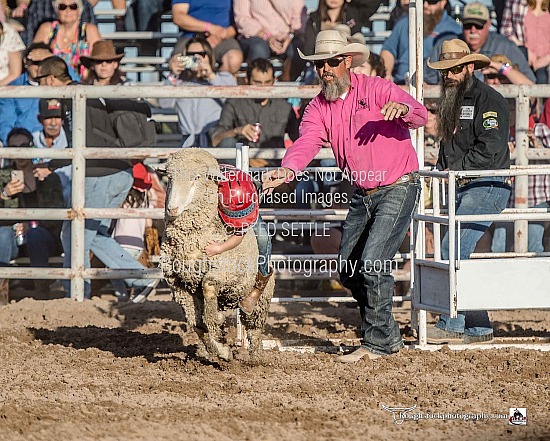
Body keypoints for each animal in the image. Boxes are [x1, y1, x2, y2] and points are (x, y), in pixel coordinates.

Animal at [161, 149, 274, 360]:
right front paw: (220, 349)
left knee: (254, 329)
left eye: (197, 177)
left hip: (260, 299)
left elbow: (208, 287)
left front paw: (219, 338)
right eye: (169, 178)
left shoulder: (227, 272)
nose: (172, 209)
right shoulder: (178, 285)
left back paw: (255, 357)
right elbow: (197, 324)